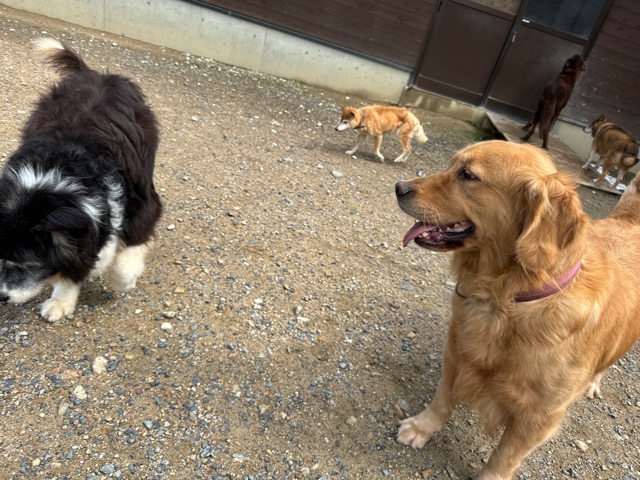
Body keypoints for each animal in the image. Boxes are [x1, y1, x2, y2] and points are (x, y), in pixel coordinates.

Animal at [0, 38, 162, 322]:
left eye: (27, 264)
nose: (2, 297)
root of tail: (97, 74)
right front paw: (61, 301)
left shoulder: (142, 206)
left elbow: (123, 260)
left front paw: (124, 280)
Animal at [395, 140, 640, 479]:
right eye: (452, 165)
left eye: (468, 175)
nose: (399, 187)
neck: (507, 300)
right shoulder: (456, 353)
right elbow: (442, 399)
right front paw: (422, 427)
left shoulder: (539, 416)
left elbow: (504, 457)